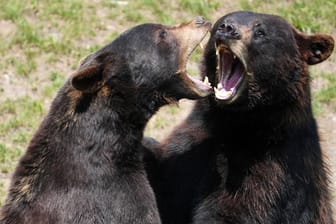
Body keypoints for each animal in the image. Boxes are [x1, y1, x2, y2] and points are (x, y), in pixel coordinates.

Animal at [145, 11, 336, 223]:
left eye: (261, 32)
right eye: (222, 22)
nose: (227, 29)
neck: (237, 122)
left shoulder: (271, 169)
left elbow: (234, 209)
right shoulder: (191, 143)